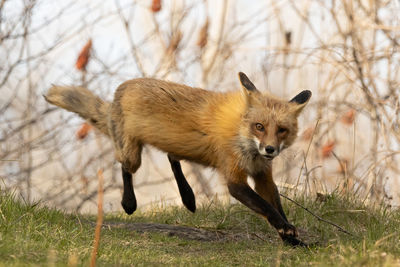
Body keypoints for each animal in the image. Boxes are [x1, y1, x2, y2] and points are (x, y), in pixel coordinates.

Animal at [44, 73, 312, 247]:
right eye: (259, 126)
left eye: (282, 130)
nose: (270, 149)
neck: (241, 136)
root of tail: (121, 87)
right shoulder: (235, 179)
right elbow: (265, 207)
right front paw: (286, 231)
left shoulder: (262, 175)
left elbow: (275, 204)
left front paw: (291, 239)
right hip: (132, 155)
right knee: (125, 167)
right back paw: (129, 202)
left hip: (175, 146)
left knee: (172, 157)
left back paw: (188, 197)